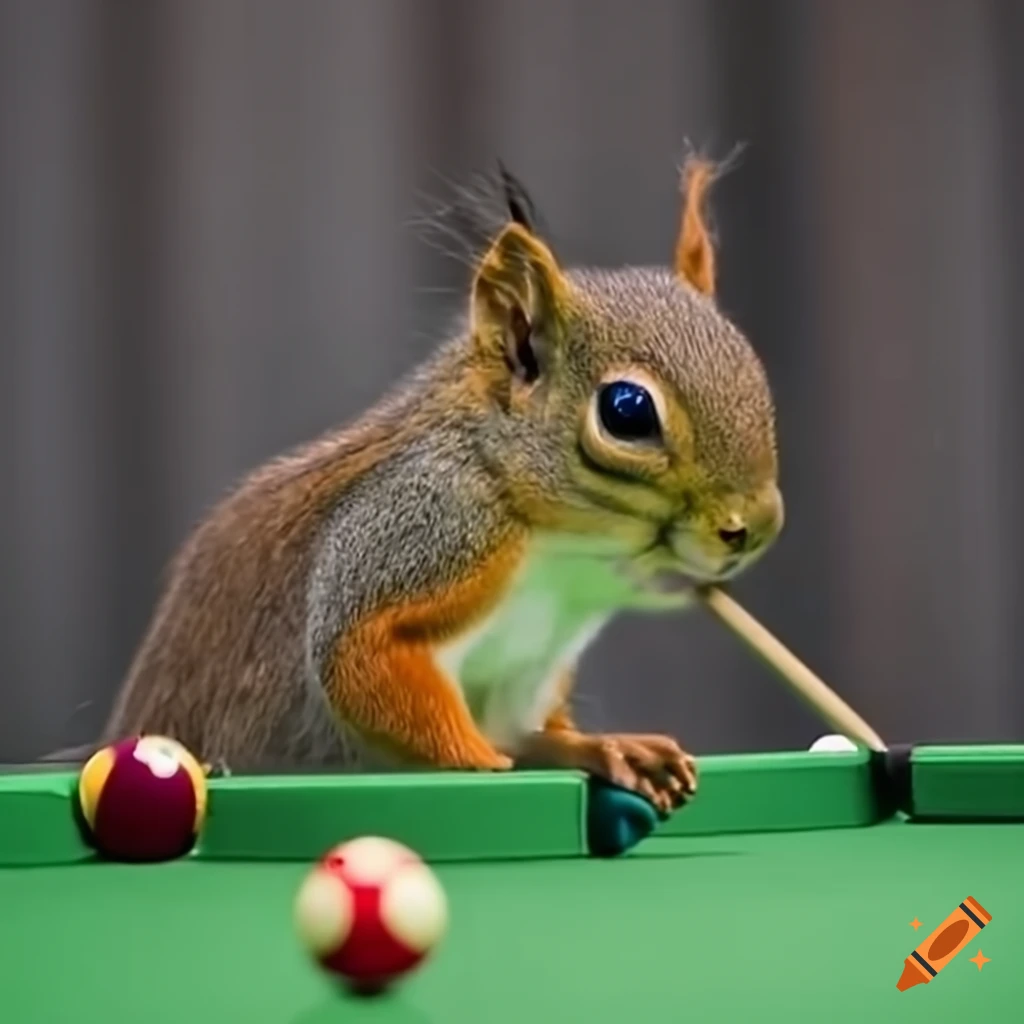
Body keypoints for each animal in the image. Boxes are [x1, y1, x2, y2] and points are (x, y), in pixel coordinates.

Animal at [100, 156, 784, 815]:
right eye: (627, 411)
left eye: (754, 368)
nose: (753, 528)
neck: (561, 552)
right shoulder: (421, 525)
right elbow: (359, 658)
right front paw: (483, 766)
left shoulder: (530, 670)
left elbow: (526, 727)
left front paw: (600, 747)